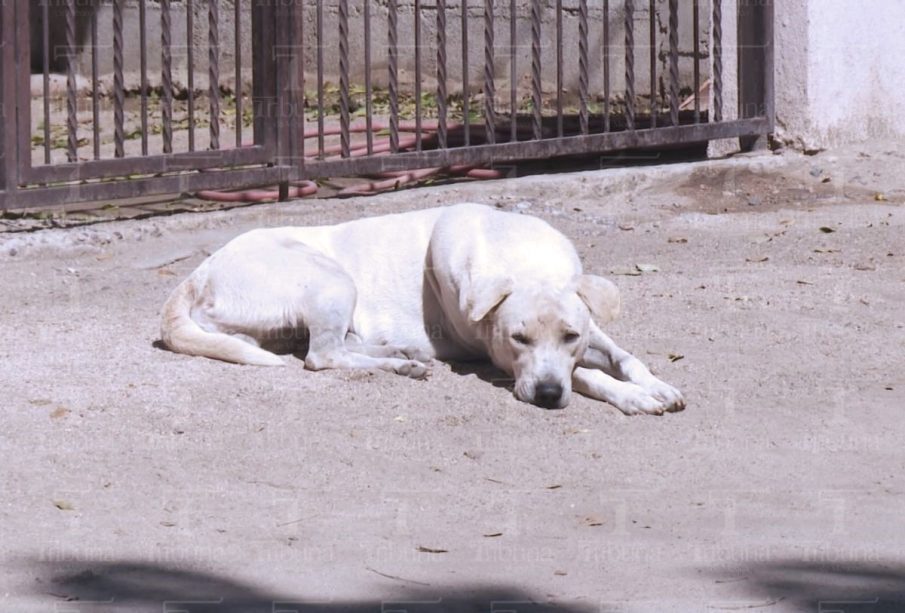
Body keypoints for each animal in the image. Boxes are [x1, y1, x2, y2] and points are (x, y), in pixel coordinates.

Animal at [164, 203, 684, 414]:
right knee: (322, 356)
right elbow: (587, 375)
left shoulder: (589, 330)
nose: (548, 396)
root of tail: (199, 271)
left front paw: (656, 385)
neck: (522, 258)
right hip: (332, 278)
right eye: (518, 339)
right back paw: (399, 364)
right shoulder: (500, 357)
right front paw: (634, 398)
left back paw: (403, 356)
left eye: (570, 336)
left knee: (336, 345)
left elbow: (624, 358)